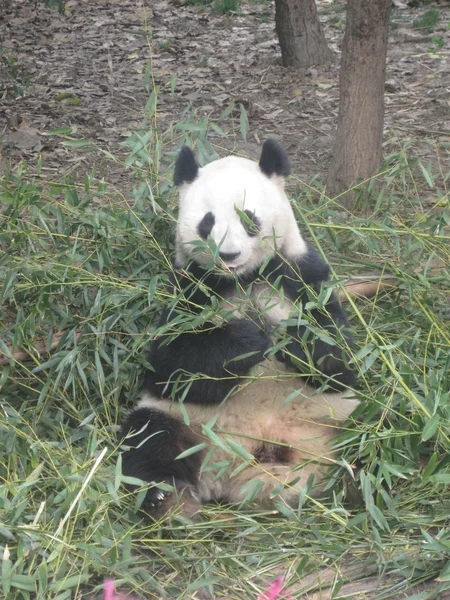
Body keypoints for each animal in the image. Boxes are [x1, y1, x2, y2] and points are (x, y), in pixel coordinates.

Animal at [121, 138, 360, 516]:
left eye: (248, 218)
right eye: (207, 222)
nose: (229, 255)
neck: (245, 278)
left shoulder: (303, 277)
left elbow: (339, 358)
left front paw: (294, 342)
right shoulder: (187, 290)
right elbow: (169, 364)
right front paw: (251, 337)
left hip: (336, 418)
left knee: (380, 433)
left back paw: (366, 484)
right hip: (185, 422)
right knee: (150, 440)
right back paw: (169, 500)